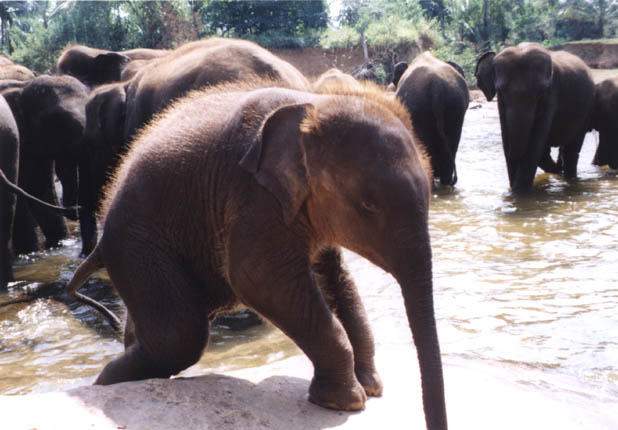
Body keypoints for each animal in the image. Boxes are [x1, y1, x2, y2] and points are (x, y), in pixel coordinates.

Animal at [67, 81, 442, 430]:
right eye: (369, 205)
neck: (315, 104)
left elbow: (334, 277)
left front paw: (369, 386)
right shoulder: (253, 196)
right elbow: (258, 278)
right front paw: (344, 402)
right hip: (136, 243)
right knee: (180, 335)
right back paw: (105, 383)